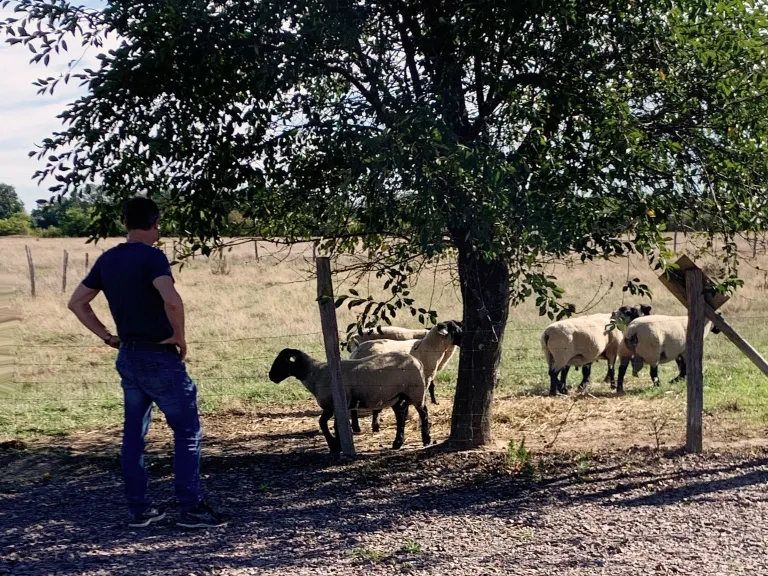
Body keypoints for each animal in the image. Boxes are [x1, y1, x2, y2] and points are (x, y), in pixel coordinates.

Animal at [268, 348, 431, 452]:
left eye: (281, 361)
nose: (271, 376)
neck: (315, 374)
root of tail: (417, 361)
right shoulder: (329, 407)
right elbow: (322, 422)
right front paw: (333, 445)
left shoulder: (339, 404)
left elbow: (335, 425)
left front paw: (337, 445)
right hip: (396, 396)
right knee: (400, 416)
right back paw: (397, 443)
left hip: (415, 391)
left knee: (423, 412)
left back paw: (426, 439)